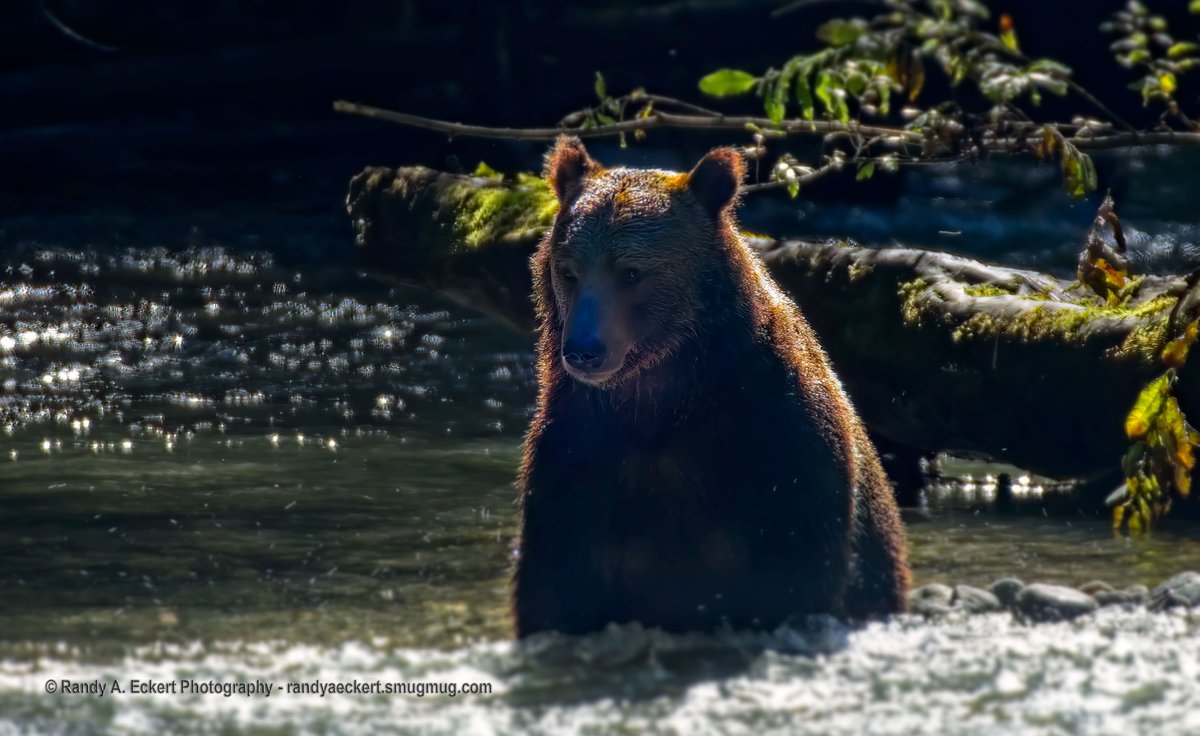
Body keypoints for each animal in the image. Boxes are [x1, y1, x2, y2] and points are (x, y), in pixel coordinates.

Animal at [511, 138, 902, 638]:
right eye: (568, 270)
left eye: (631, 272)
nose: (583, 350)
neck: (662, 394)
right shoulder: (578, 448)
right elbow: (557, 580)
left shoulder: (777, 437)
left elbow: (794, 565)